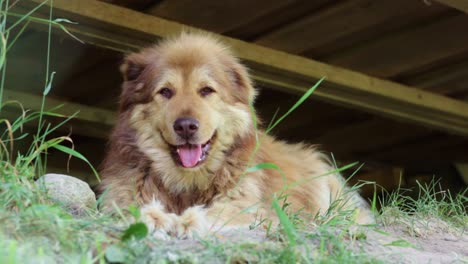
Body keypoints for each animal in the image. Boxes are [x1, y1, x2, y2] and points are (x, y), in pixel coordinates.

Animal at [98, 33, 372, 239]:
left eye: (206, 90)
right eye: (165, 92)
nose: (186, 126)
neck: (186, 184)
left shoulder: (244, 204)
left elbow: (217, 213)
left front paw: (188, 221)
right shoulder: (121, 193)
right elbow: (131, 206)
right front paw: (151, 216)